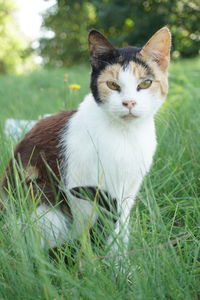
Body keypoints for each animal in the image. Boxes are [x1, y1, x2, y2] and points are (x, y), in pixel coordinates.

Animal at [1, 27, 170, 254]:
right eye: (112, 85)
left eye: (145, 83)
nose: (129, 103)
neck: (125, 135)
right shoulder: (78, 184)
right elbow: (88, 228)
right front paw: (91, 258)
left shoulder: (128, 190)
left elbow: (120, 229)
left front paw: (120, 260)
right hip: (43, 206)